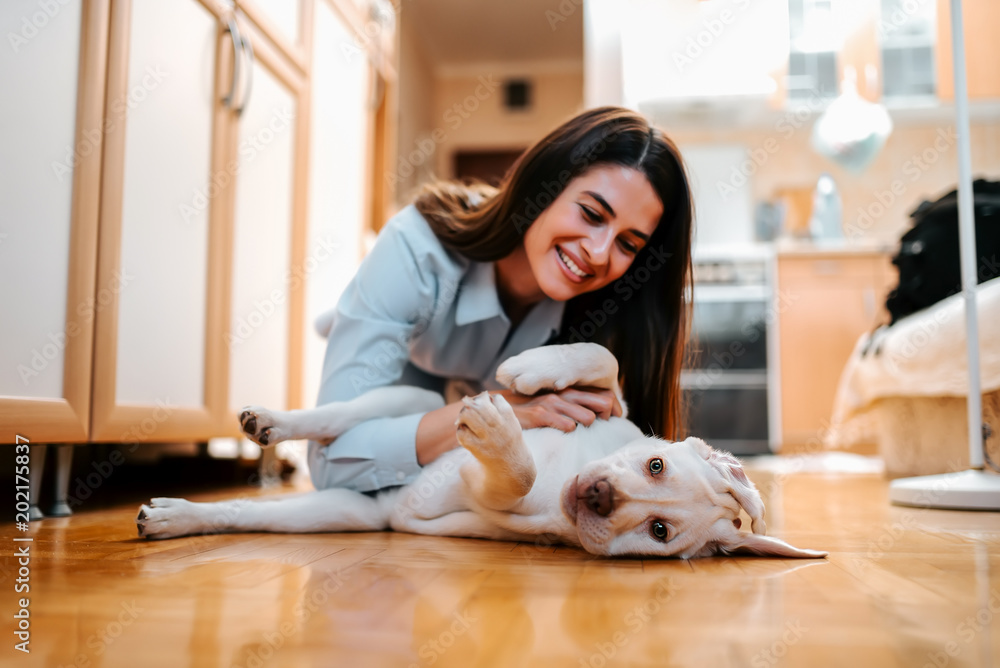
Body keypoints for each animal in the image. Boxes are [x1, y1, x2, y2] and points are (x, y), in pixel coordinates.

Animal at [137, 344, 824, 560]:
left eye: (659, 530)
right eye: (655, 464)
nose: (600, 495)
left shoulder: (481, 496)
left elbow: (511, 477)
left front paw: (500, 438)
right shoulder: (613, 407)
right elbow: (603, 359)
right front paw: (529, 370)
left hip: (345, 511)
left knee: (244, 512)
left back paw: (176, 516)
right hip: (406, 397)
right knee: (338, 415)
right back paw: (270, 422)